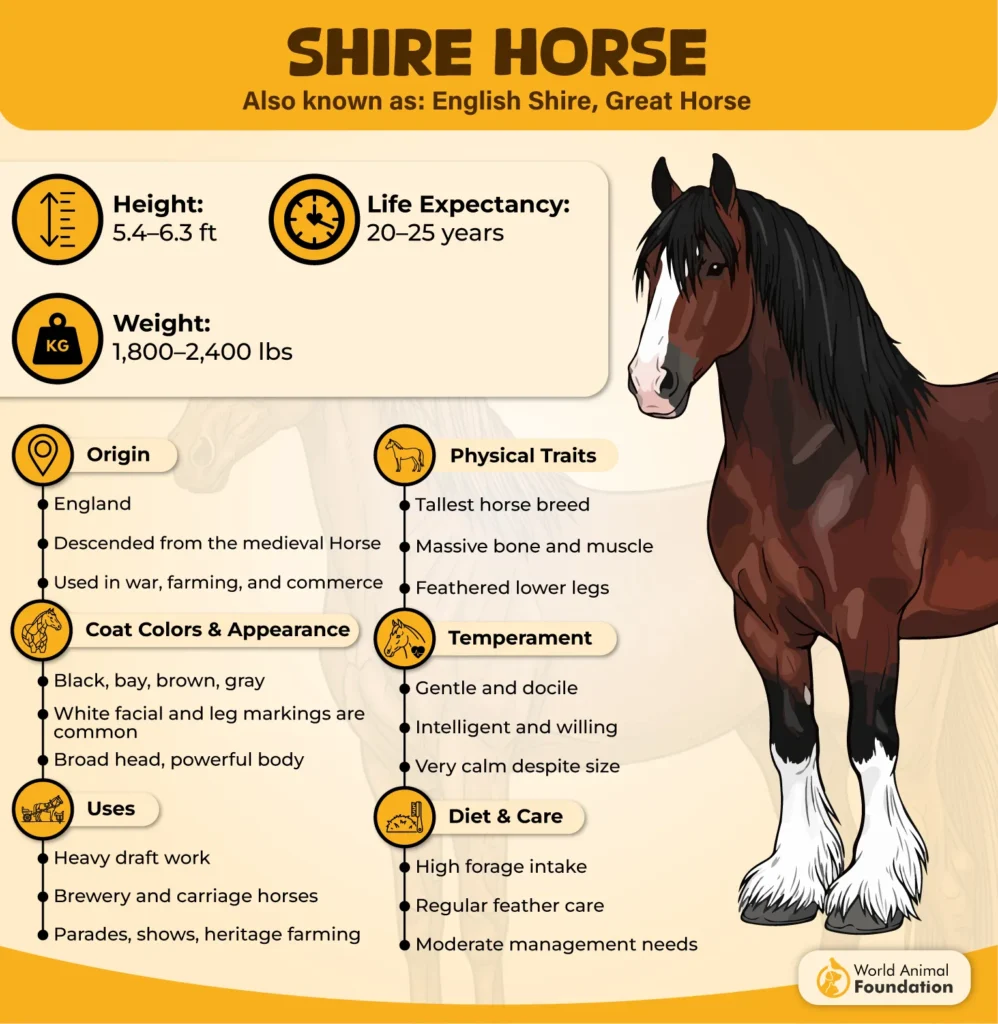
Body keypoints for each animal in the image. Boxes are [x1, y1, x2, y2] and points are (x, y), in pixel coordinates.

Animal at [629, 153, 998, 936]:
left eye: (711, 265)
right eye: (647, 269)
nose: (651, 385)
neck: (821, 457)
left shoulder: (868, 623)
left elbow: (870, 743)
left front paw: (872, 890)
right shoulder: (764, 624)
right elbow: (794, 743)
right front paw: (790, 883)